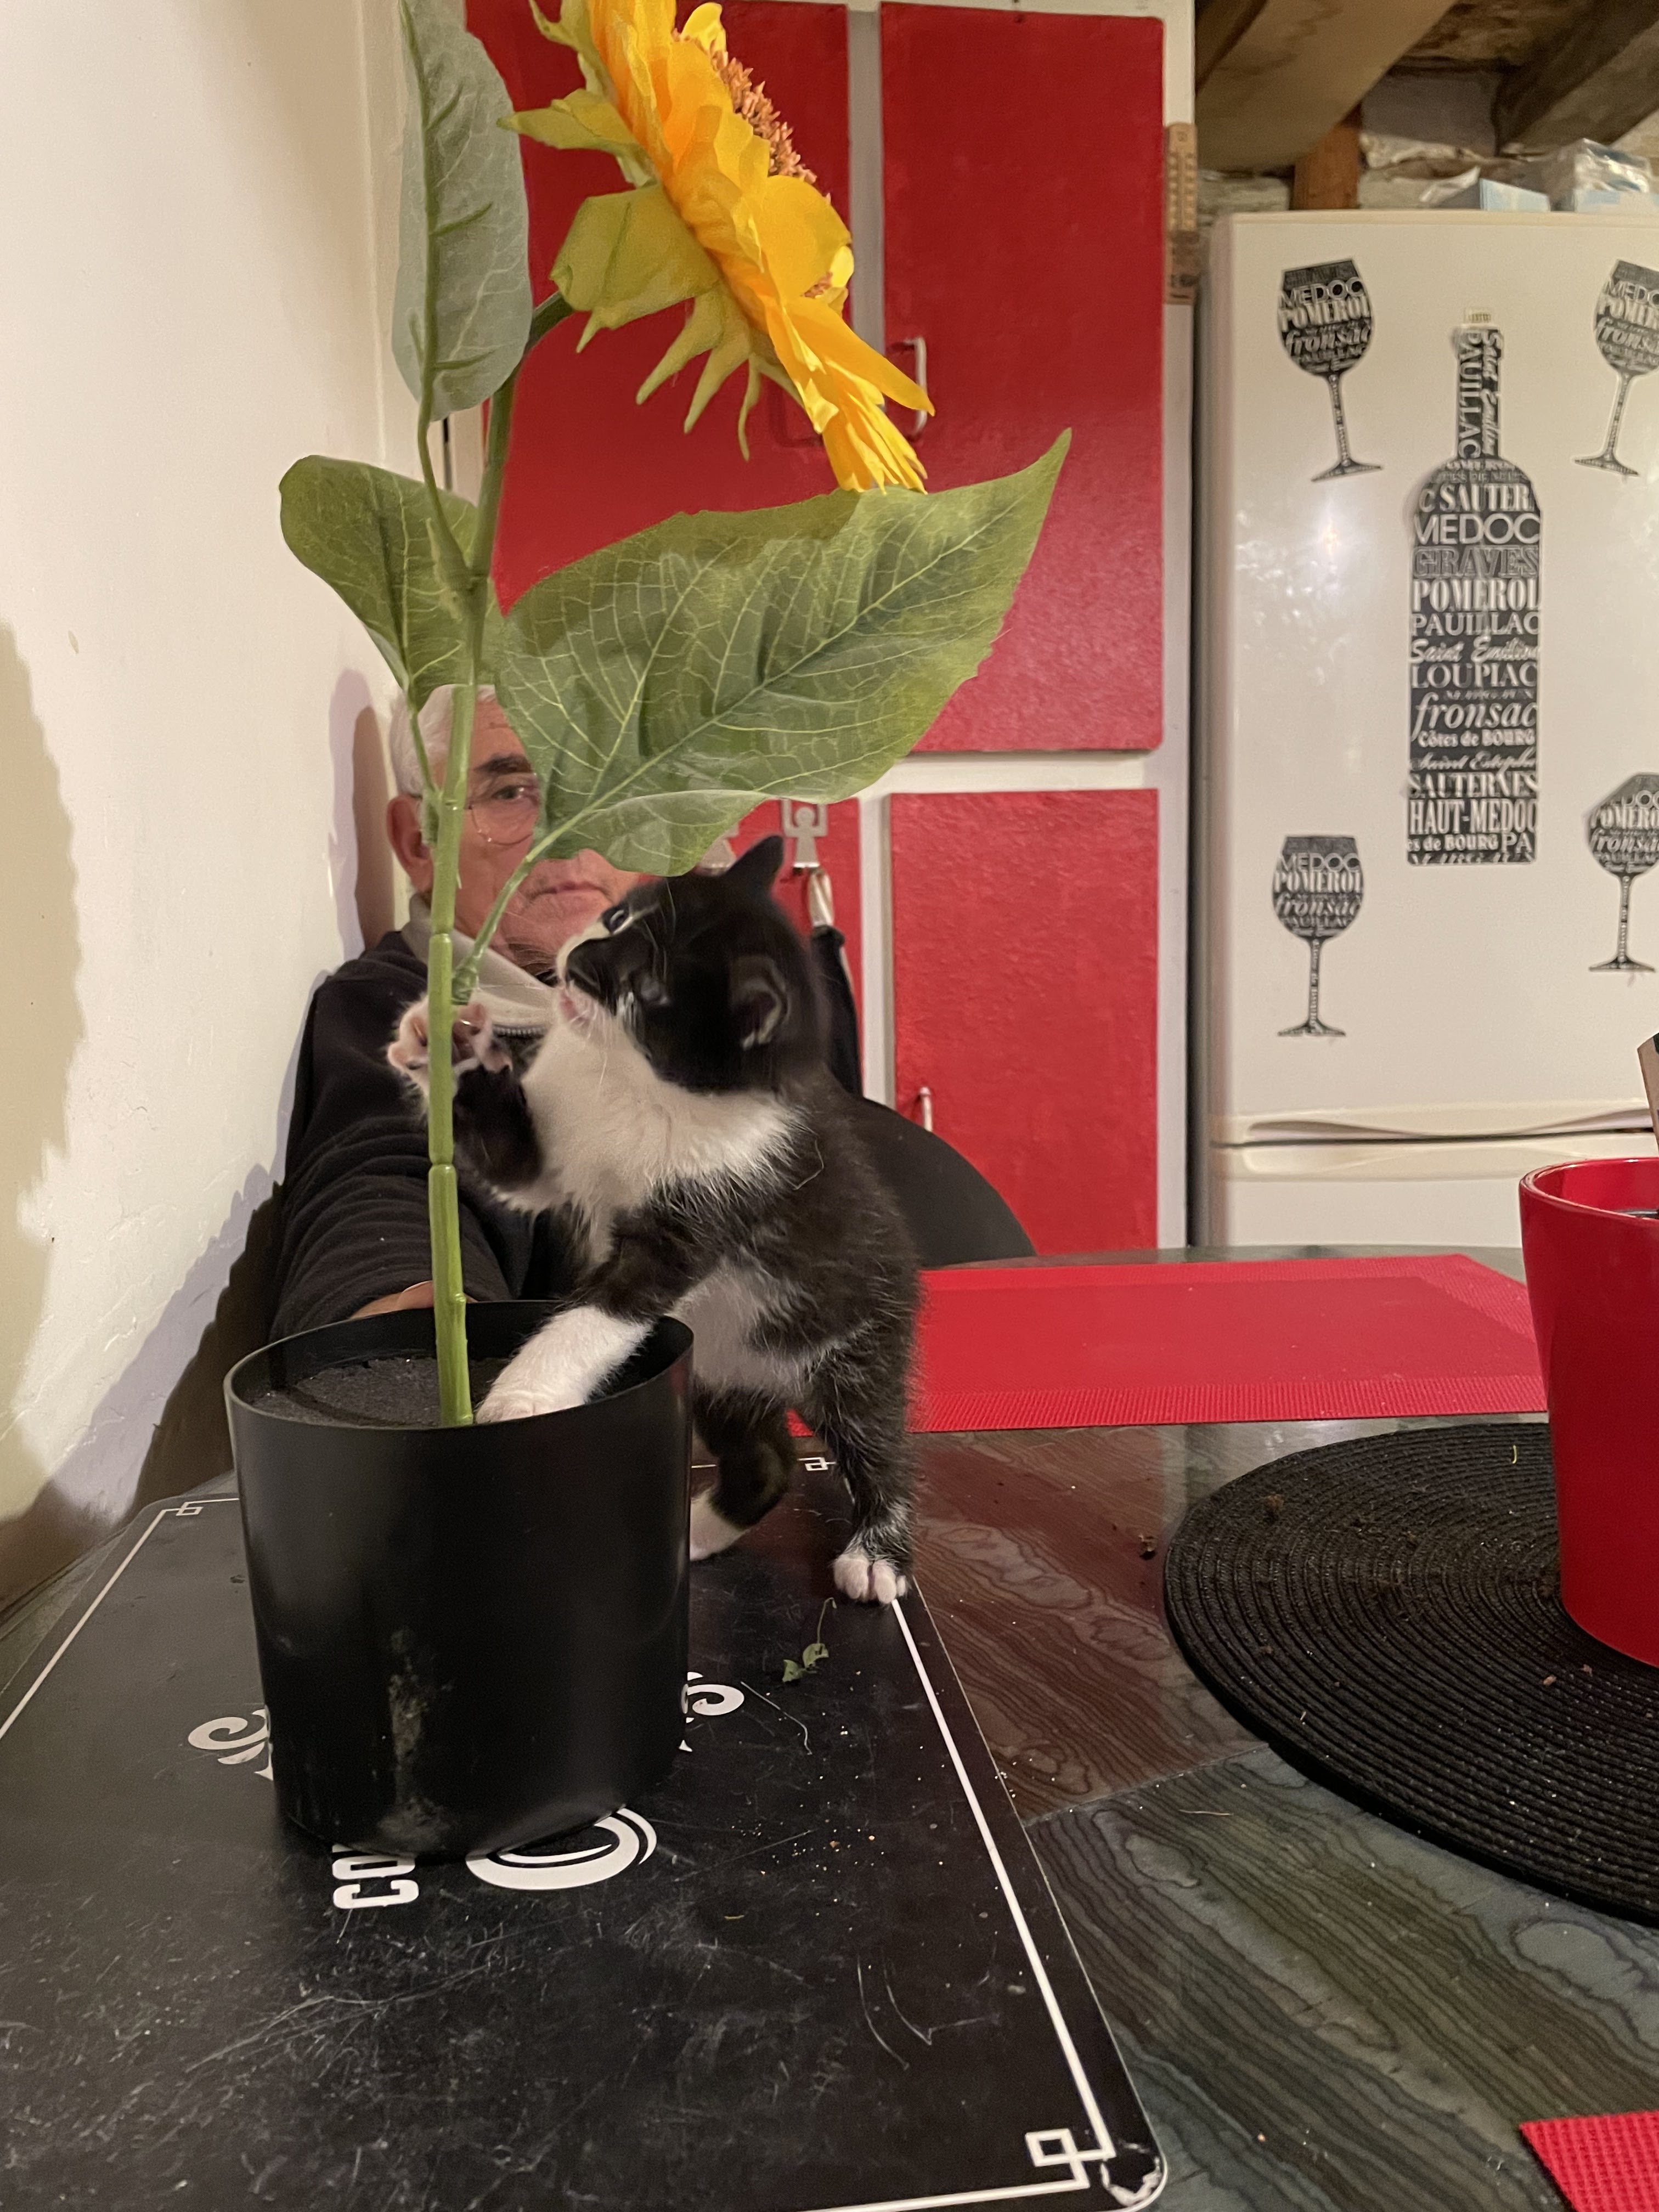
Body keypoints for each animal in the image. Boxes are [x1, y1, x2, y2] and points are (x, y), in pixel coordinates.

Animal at [388, 836, 918, 1604]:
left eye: (644, 989)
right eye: (615, 919)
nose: (579, 960)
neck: (637, 1086)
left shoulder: (711, 1203)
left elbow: (601, 1312)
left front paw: (522, 1396)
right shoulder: (549, 1162)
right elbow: (516, 1167)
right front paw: (444, 1044)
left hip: (858, 1342)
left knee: (879, 1438)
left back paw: (879, 1552)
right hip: (721, 1372)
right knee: (767, 1459)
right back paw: (696, 1531)